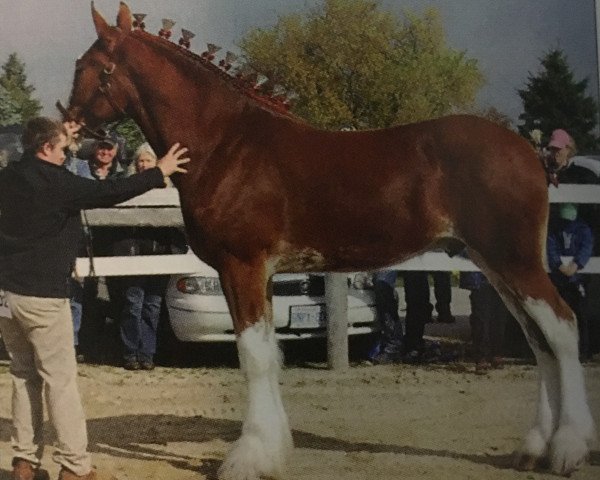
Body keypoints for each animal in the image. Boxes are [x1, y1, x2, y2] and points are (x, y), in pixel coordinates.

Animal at [65, 3, 596, 480]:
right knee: (538, 340)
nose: (70, 129)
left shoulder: (242, 265)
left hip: (515, 262)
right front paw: (274, 450)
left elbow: (253, 357)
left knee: (562, 329)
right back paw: (533, 448)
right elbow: (269, 354)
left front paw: (247, 459)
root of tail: (528, 153)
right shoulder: (260, 272)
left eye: (87, 67)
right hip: (495, 264)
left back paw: (569, 448)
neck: (225, 143)